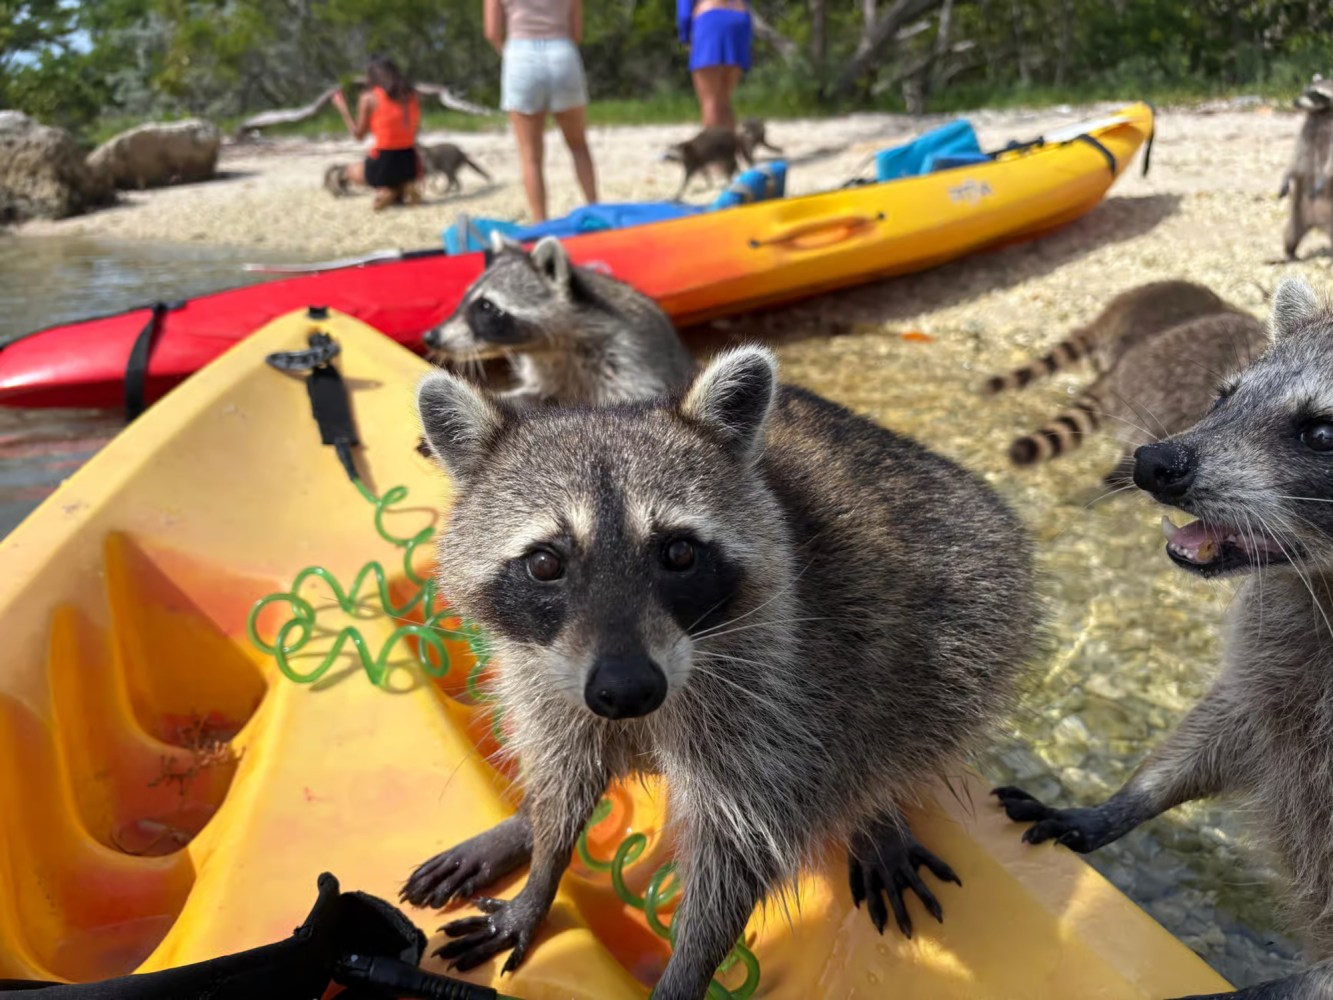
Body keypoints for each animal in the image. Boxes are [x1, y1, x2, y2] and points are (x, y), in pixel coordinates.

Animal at [403, 346, 1036, 999]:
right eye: (546, 563)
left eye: (679, 553)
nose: (627, 691)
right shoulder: (545, 677)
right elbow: (564, 777)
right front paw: (540, 868)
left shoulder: (779, 701)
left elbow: (735, 854)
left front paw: (686, 970)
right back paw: (523, 823)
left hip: (973, 609)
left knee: (906, 719)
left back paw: (878, 813)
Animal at [1280, 74, 1333, 261]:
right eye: (1305, 90)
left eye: (1316, 94)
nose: (1295, 102)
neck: (1320, 113)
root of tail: (1315, 222)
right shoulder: (1305, 131)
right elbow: (1296, 158)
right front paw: (1286, 176)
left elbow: (1330, 164)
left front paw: (1322, 180)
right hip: (1298, 212)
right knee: (1290, 233)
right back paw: (1289, 253)